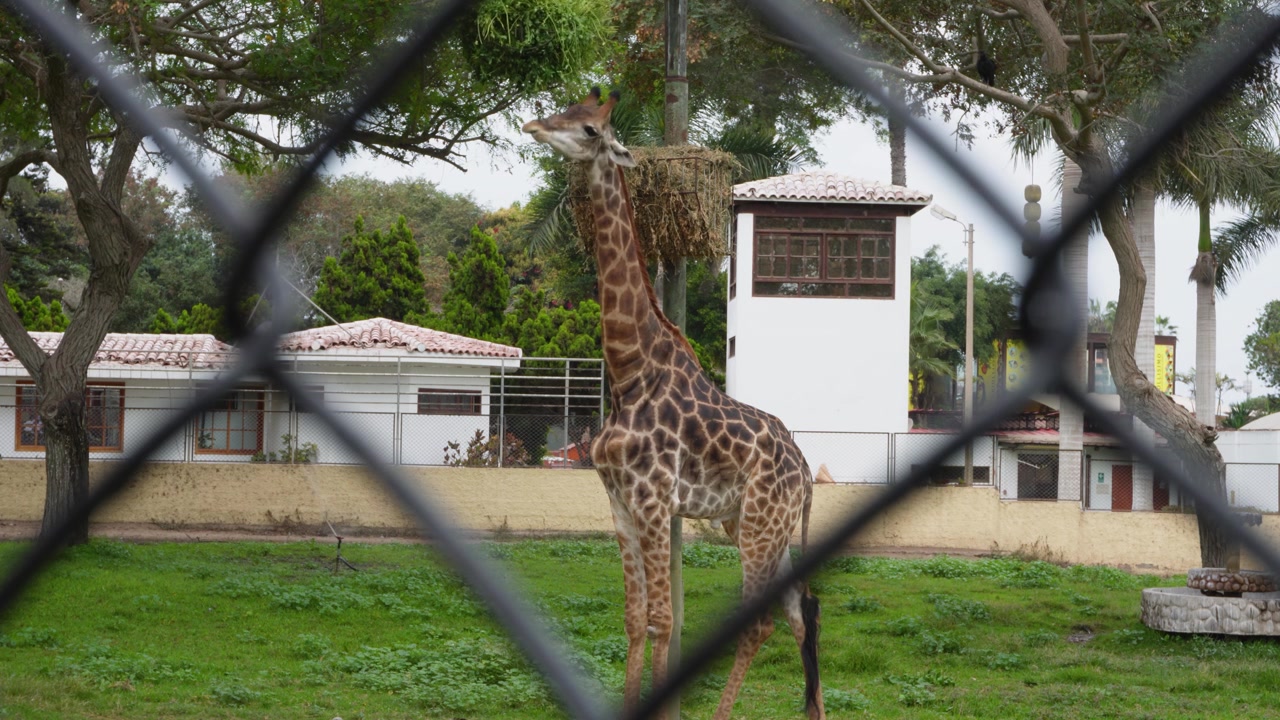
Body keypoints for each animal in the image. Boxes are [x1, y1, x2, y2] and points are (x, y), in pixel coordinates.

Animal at [523, 88, 824, 720]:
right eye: (567, 108)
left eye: (591, 130)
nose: (534, 125)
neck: (630, 371)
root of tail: (807, 473)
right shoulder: (618, 501)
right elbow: (636, 619)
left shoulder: (656, 500)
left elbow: (664, 619)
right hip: (754, 525)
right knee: (801, 616)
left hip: (759, 528)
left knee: (761, 624)